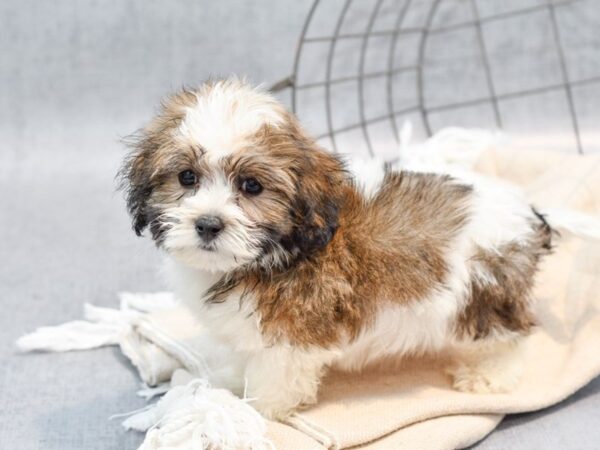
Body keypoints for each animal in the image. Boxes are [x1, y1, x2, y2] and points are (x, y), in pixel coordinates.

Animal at [120, 79, 552, 420]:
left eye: (251, 186)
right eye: (186, 177)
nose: (208, 224)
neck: (281, 248)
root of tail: (525, 211)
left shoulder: (292, 331)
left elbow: (275, 376)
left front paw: (257, 409)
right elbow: (245, 355)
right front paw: (229, 379)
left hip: (481, 297)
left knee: (504, 338)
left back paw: (488, 375)